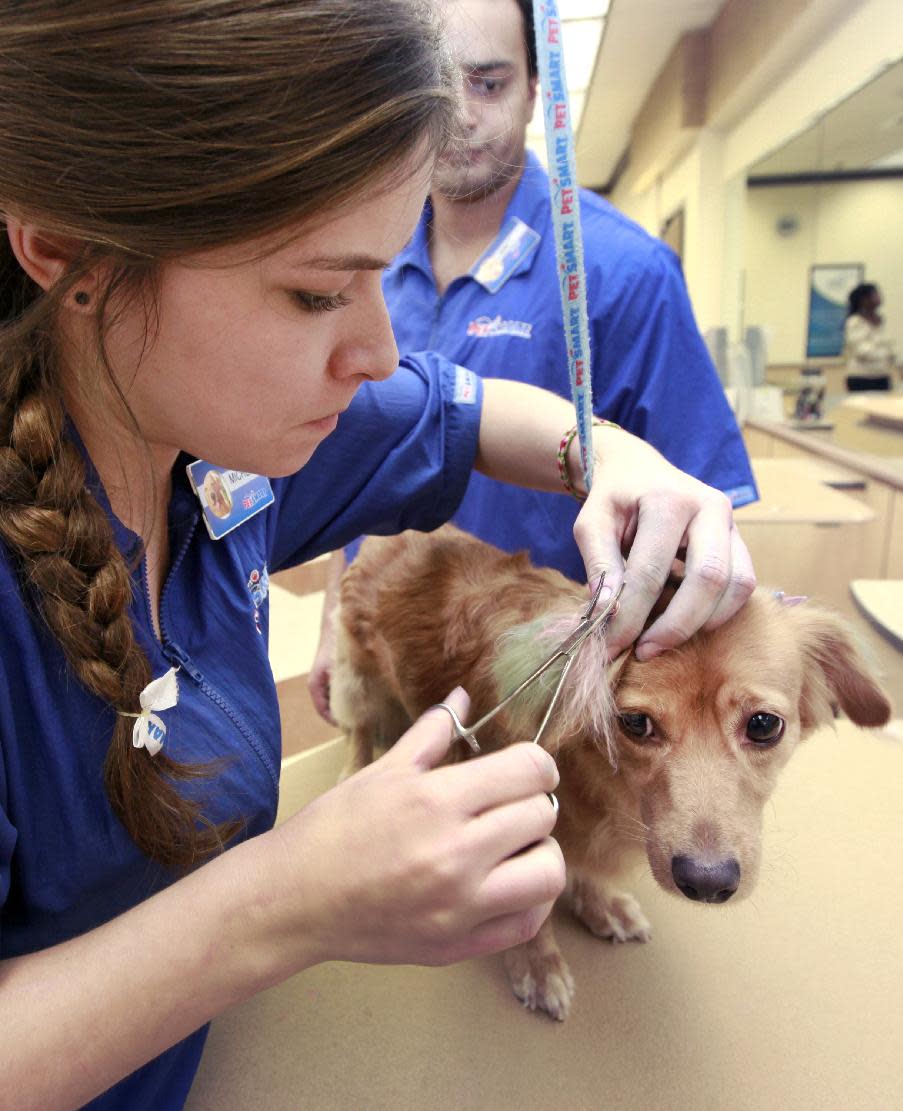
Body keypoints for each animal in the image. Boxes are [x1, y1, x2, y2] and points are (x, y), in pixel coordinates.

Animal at [326, 524, 893, 1017]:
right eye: (636, 724)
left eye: (763, 725)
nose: (707, 882)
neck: (605, 786)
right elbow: (535, 915)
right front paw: (538, 965)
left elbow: (587, 871)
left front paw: (600, 905)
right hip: (359, 680)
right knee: (358, 726)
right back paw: (353, 770)